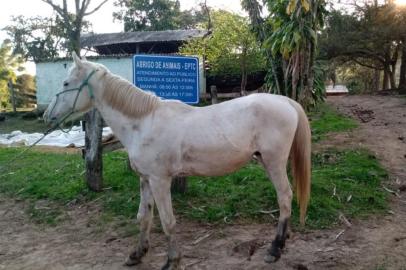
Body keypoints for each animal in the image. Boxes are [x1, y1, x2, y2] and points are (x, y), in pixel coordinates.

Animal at [43, 53, 310, 270]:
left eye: (66, 83)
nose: (47, 116)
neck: (143, 122)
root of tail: (286, 101)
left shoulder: (160, 181)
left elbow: (167, 221)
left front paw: (172, 261)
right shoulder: (145, 180)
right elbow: (144, 217)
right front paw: (137, 254)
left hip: (274, 163)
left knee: (285, 197)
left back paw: (275, 249)